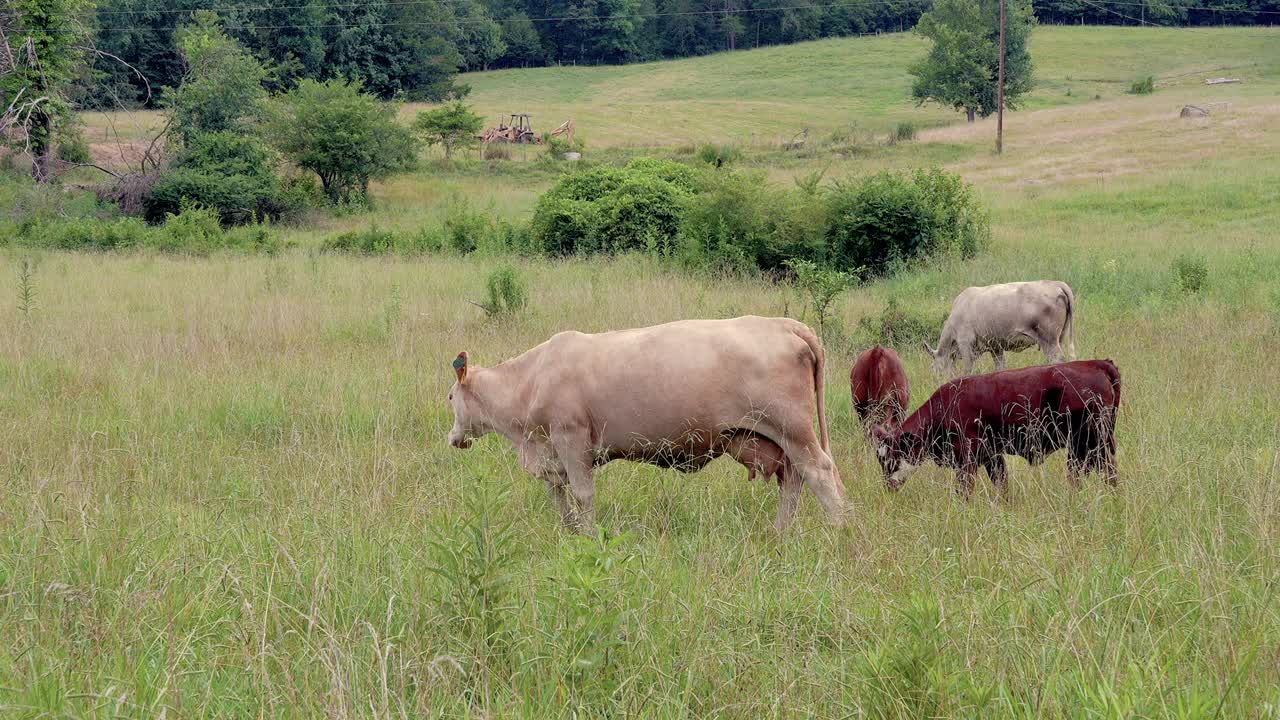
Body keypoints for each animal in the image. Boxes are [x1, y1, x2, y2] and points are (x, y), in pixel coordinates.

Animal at [445, 316, 844, 530]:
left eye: (450, 398)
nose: (453, 438)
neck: (533, 379)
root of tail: (783, 324)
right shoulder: (551, 454)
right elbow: (558, 495)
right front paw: (569, 529)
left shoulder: (571, 438)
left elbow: (583, 493)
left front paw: (588, 536)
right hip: (775, 439)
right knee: (792, 480)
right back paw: (780, 532)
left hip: (794, 429)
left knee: (821, 474)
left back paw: (840, 529)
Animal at [870, 358, 1121, 491]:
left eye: (890, 459)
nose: (887, 487)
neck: (945, 406)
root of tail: (1096, 363)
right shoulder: (992, 456)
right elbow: (1002, 485)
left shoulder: (968, 459)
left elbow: (964, 491)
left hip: (1088, 444)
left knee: (1101, 472)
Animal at [926, 279, 1075, 376]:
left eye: (934, 369)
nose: (937, 381)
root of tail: (1057, 284)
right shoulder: (996, 347)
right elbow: (1001, 367)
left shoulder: (965, 343)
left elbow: (968, 369)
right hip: (1059, 338)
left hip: (1049, 340)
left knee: (1057, 359)